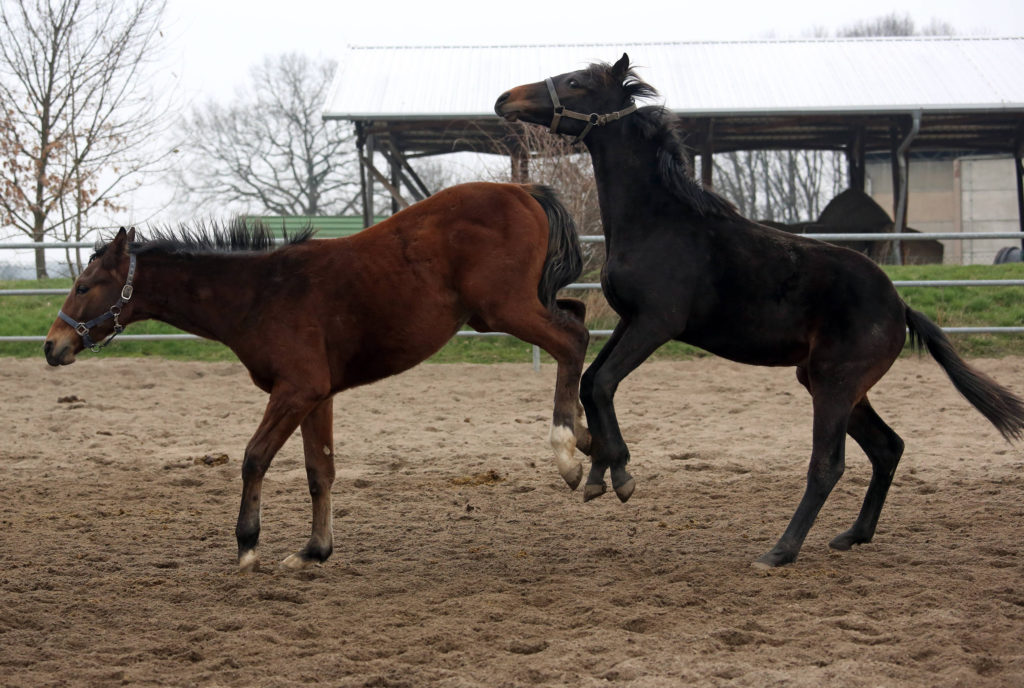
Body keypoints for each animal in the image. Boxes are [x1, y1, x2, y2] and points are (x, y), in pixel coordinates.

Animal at [46, 181, 593, 569]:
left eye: (84, 286)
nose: (54, 346)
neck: (259, 293)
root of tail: (522, 190)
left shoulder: (295, 391)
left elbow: (254, 458)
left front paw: (248, 545)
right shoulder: (318, 397)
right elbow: (319, 471)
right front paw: (315, 549)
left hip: (505, 310)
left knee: (573, 339)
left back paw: (568, 450)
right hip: (509, 308)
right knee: (578, 316)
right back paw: (589, 436)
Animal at [495, 53, 1024, 565]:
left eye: (577, 82)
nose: (505, 99)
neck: (659, 222)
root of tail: (900, 306)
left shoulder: (656, 323)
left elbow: (603, 383)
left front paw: (619, 473)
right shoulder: (631, 321)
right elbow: (590, 382)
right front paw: (597, 471)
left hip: (834, 384)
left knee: (828, 465)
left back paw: (781, 551)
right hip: (831, 383)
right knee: (888, 447)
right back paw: (852, 535)